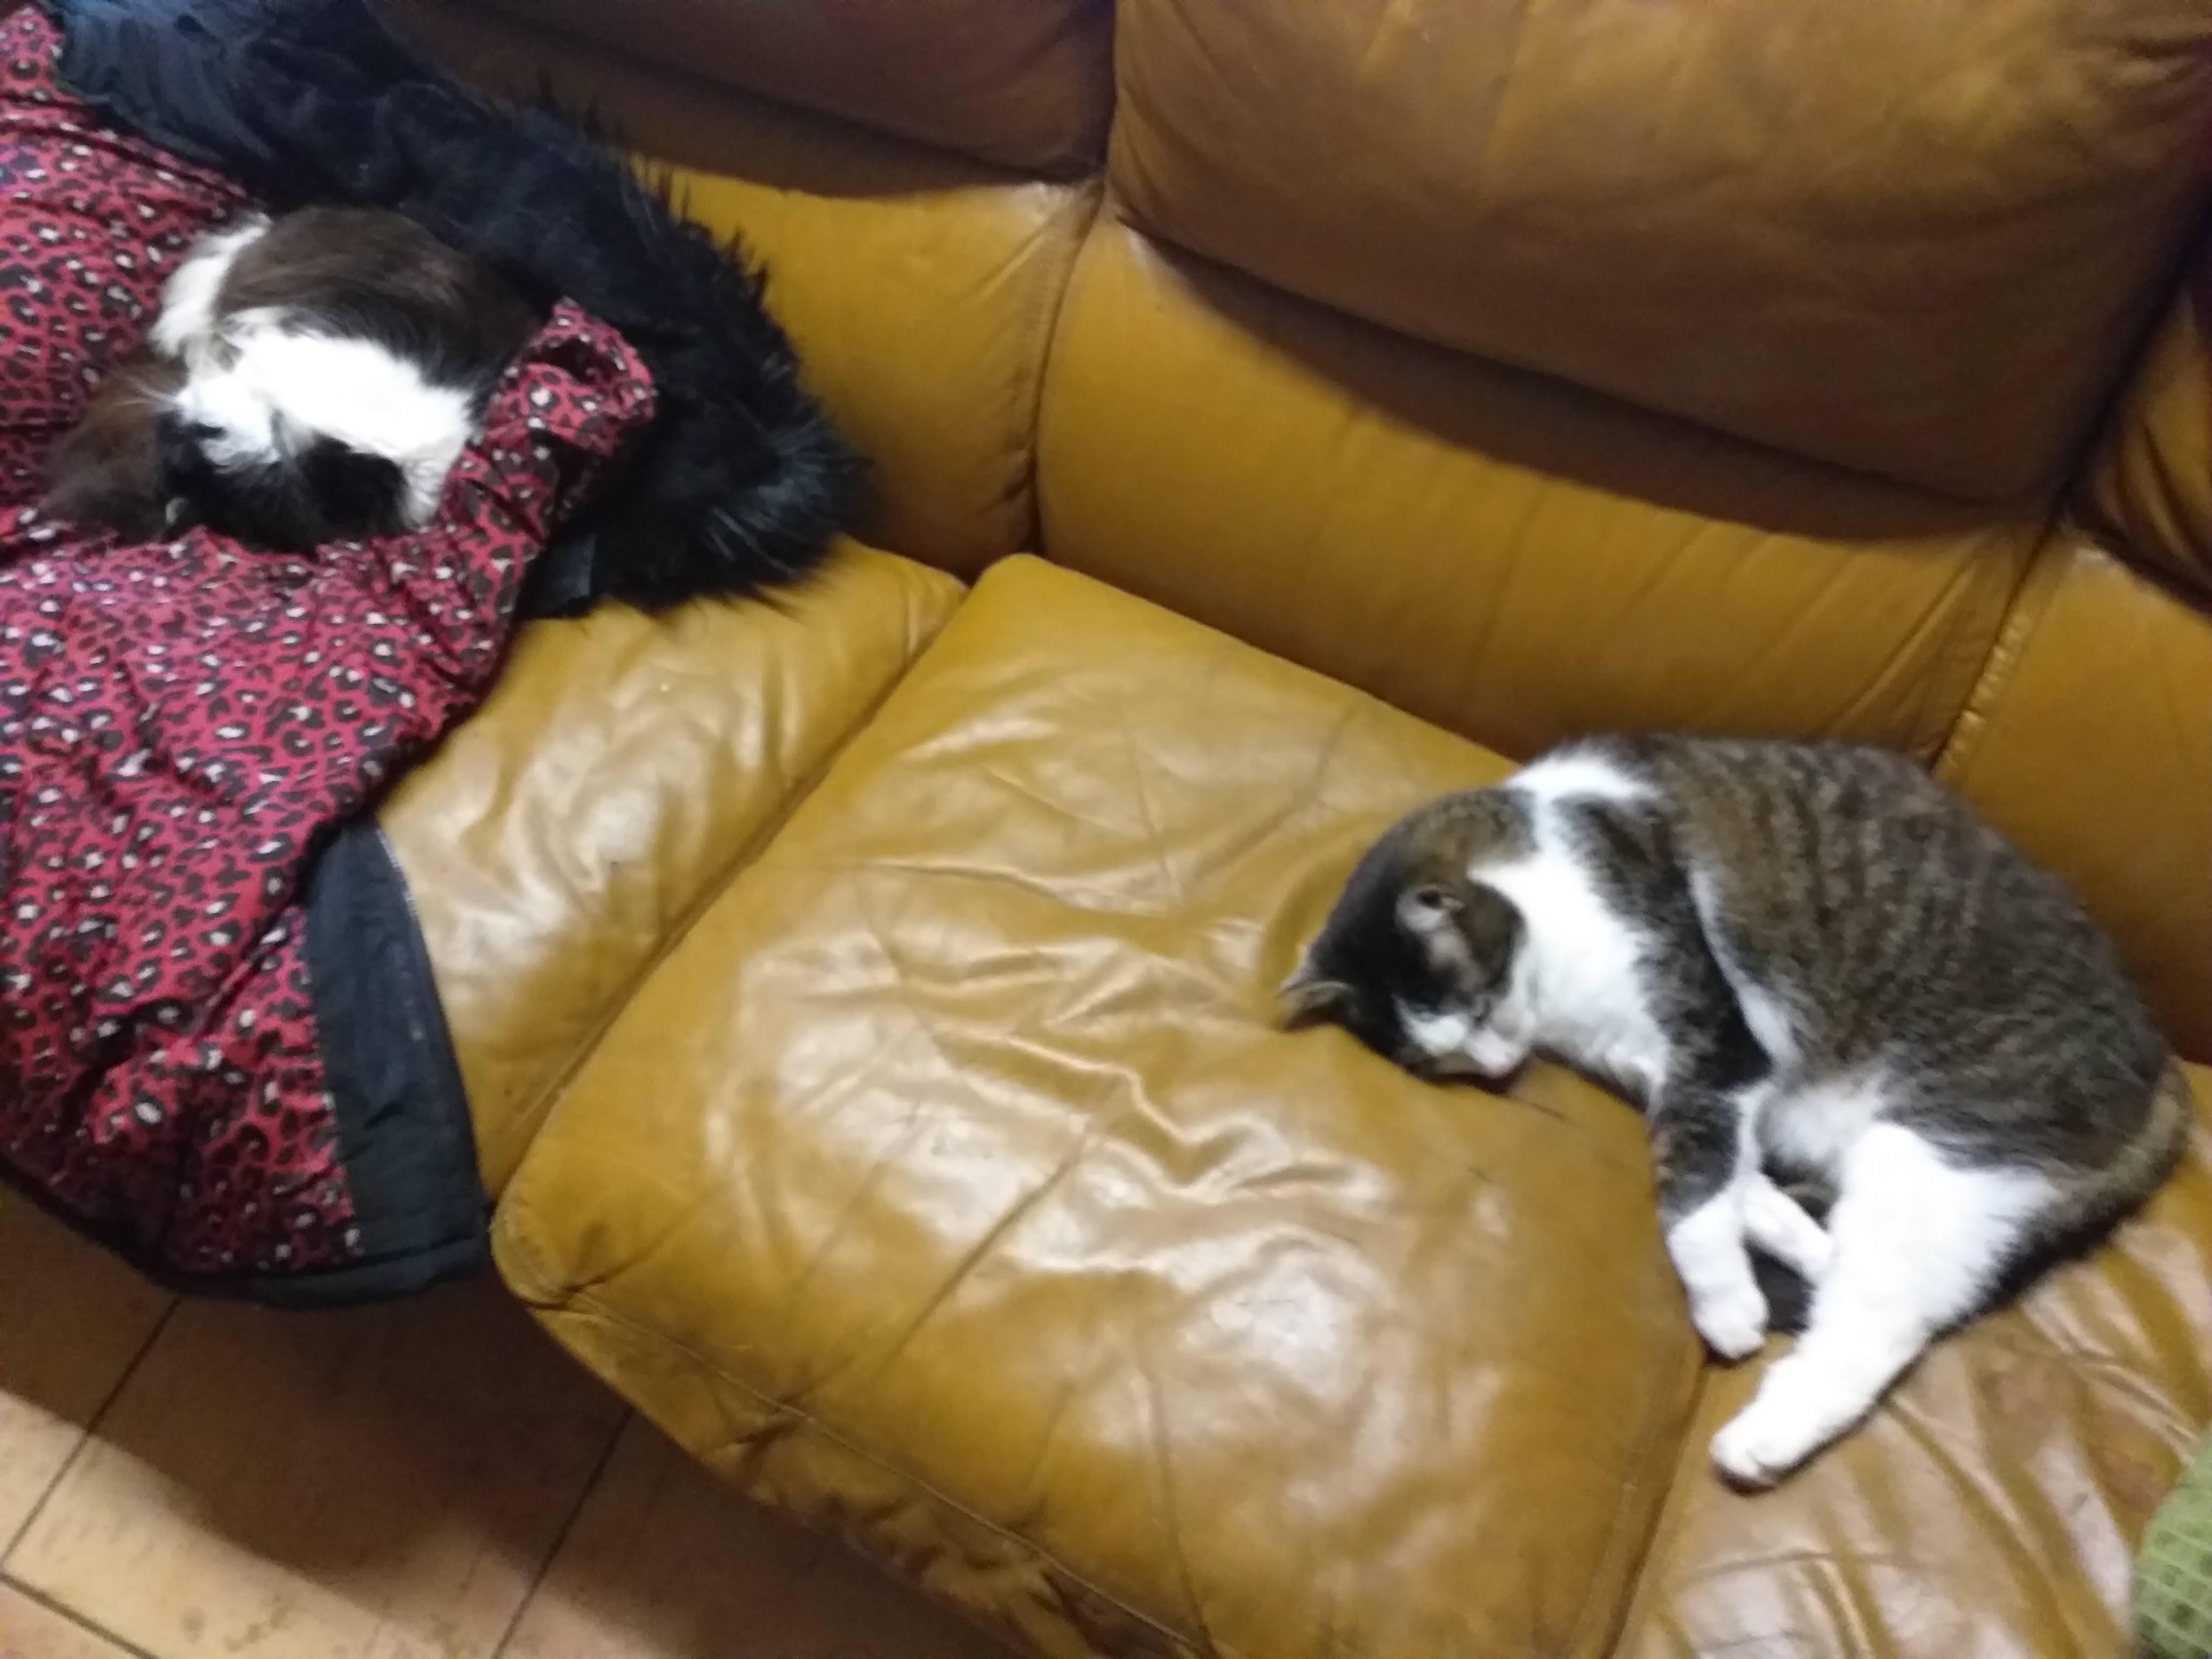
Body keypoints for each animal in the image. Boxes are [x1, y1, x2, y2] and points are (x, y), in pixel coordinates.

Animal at [1283, 734, 2187, 1487]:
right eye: (1445, 1057)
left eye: (1476, 1006)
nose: (1501, 1068)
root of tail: (2163, 1067)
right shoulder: (1678, 1079)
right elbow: (1728, 1178)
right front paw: (1796, 1240)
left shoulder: (1714, 1043)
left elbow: (1690, 1195)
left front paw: (1730, 1308)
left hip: (1944, 1148)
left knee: (1890, 1322)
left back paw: (1764, 1435)